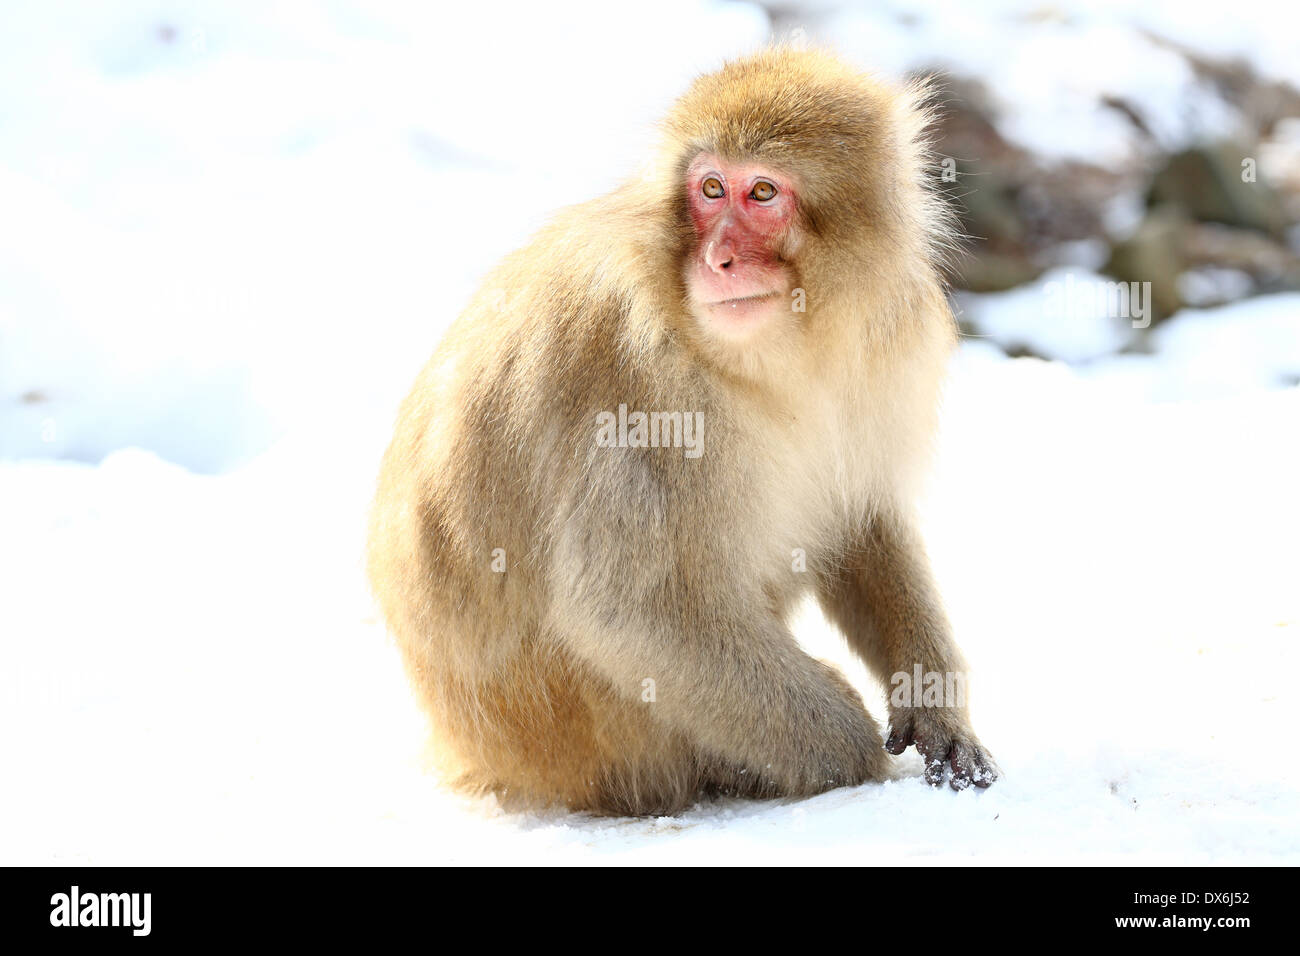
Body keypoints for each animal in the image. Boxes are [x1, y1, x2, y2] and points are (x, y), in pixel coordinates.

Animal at [366, 48, 993, 816]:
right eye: (711, 189)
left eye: (761, 192)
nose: (718, 259)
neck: (778, 351)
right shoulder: (645, 403)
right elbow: (631, 613)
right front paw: (856, 754)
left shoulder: (887, 341)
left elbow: (863, 521)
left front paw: (937, 712)